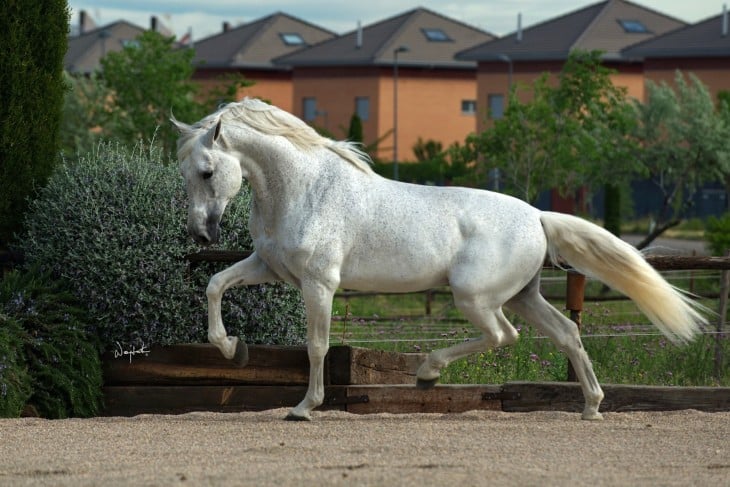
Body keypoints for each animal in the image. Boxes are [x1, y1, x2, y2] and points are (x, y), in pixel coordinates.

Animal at [171, 97, 704, 422]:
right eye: (186, 173)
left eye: (207, 171)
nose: (200, 232)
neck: (304, 190)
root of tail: (537, 215)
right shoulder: (268, 268)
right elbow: (215, 285)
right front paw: (232, 349)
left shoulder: (319, 284)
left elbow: (316, 346)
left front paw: (304, 407)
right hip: (524, 296)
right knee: (566, 333)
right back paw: (591, 406)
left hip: (475, 296)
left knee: (502, 336)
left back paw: (428, 371)